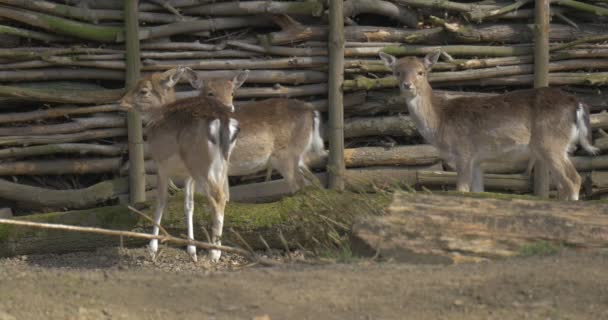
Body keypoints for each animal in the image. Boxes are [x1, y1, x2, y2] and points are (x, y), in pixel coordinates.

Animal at [119, 65, 245, 262]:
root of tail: (222, 120)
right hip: (222, 161)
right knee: (224, 194)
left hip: (199, 163)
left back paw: (214, 253)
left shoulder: (160, 164)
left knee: (217, 196)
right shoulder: (187, 175)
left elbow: (160, 201)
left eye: (143, 90)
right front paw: (191, 250)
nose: (121, 101)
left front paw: (152, 249)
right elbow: (189, 205)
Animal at [380, 50, 600, 200]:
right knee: (563, 184)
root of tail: (577, 103)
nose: (407, 85)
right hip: (561, 147)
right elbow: (478, 192)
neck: (440, 122)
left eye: (421, 72)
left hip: (550, 143)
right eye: (397, 72)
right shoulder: (478, 160)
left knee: (574, 180)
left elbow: (462, 190)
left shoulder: (464, 153)